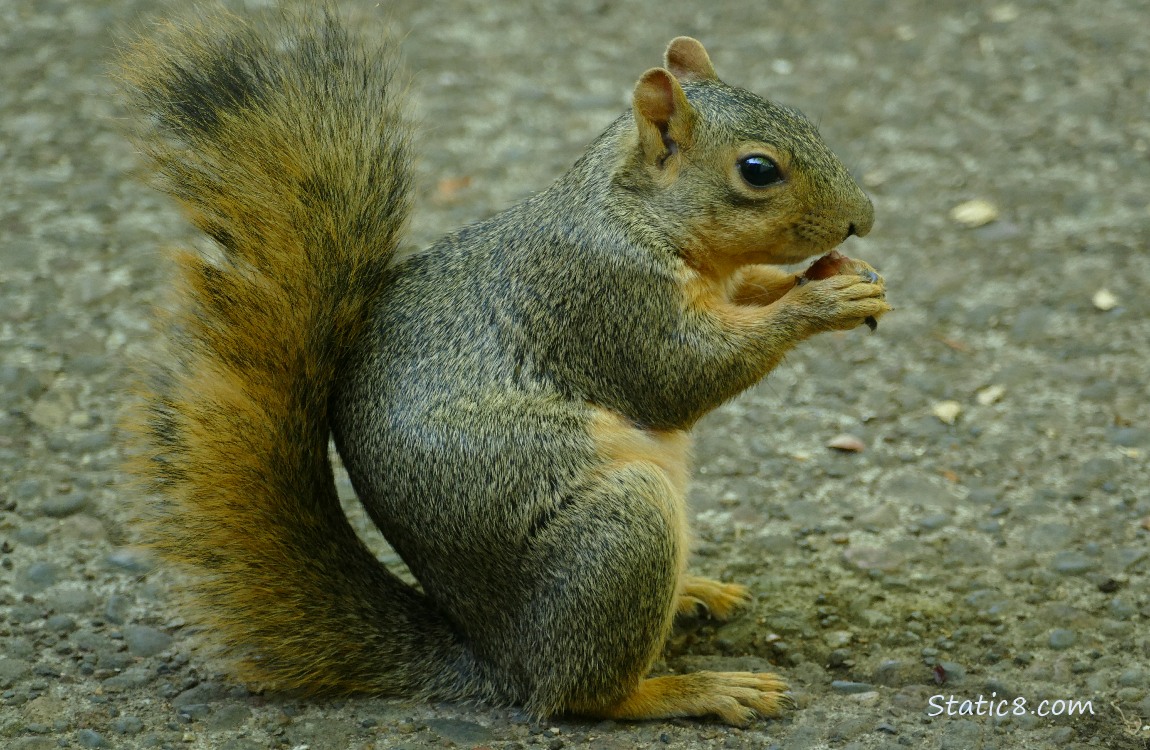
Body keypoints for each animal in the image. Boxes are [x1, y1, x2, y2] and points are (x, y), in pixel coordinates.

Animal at [118, 4, 888, 726]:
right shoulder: (603, 298)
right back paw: (691, 689)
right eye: (758, 170)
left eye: (805, 119)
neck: (632, 211)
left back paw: (692, 592)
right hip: (618, 529)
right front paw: (819, 300)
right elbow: (680, 378)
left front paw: (833, 279)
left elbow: (746, 291)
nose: (864, 218)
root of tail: (495, 657)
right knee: (582, 692)